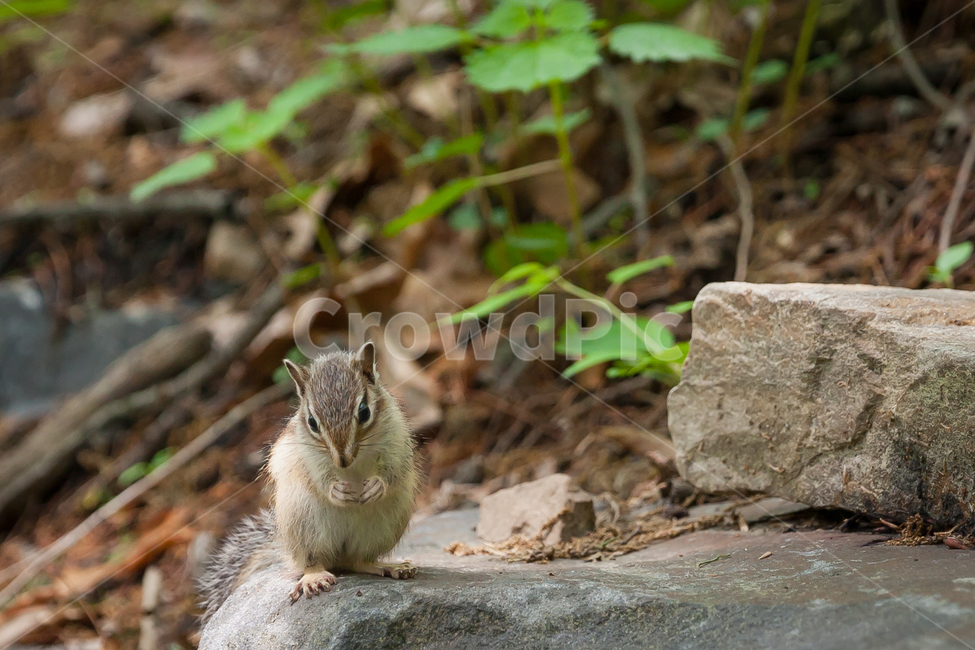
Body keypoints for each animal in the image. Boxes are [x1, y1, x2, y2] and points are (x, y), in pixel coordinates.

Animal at [198, 342, 420, 620]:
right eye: (312, 422)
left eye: (364, 411)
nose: (342, 460)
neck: (354, 464)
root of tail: (338, 556)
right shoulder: (305, 455)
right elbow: (316, 476)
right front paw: (335, 491)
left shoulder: (397, 439)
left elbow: (394, 468)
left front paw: (376, 486)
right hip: (303, 523)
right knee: (313, 561)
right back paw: (313, 577)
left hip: (386, 525)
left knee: (358, 560)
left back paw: (388, 567)